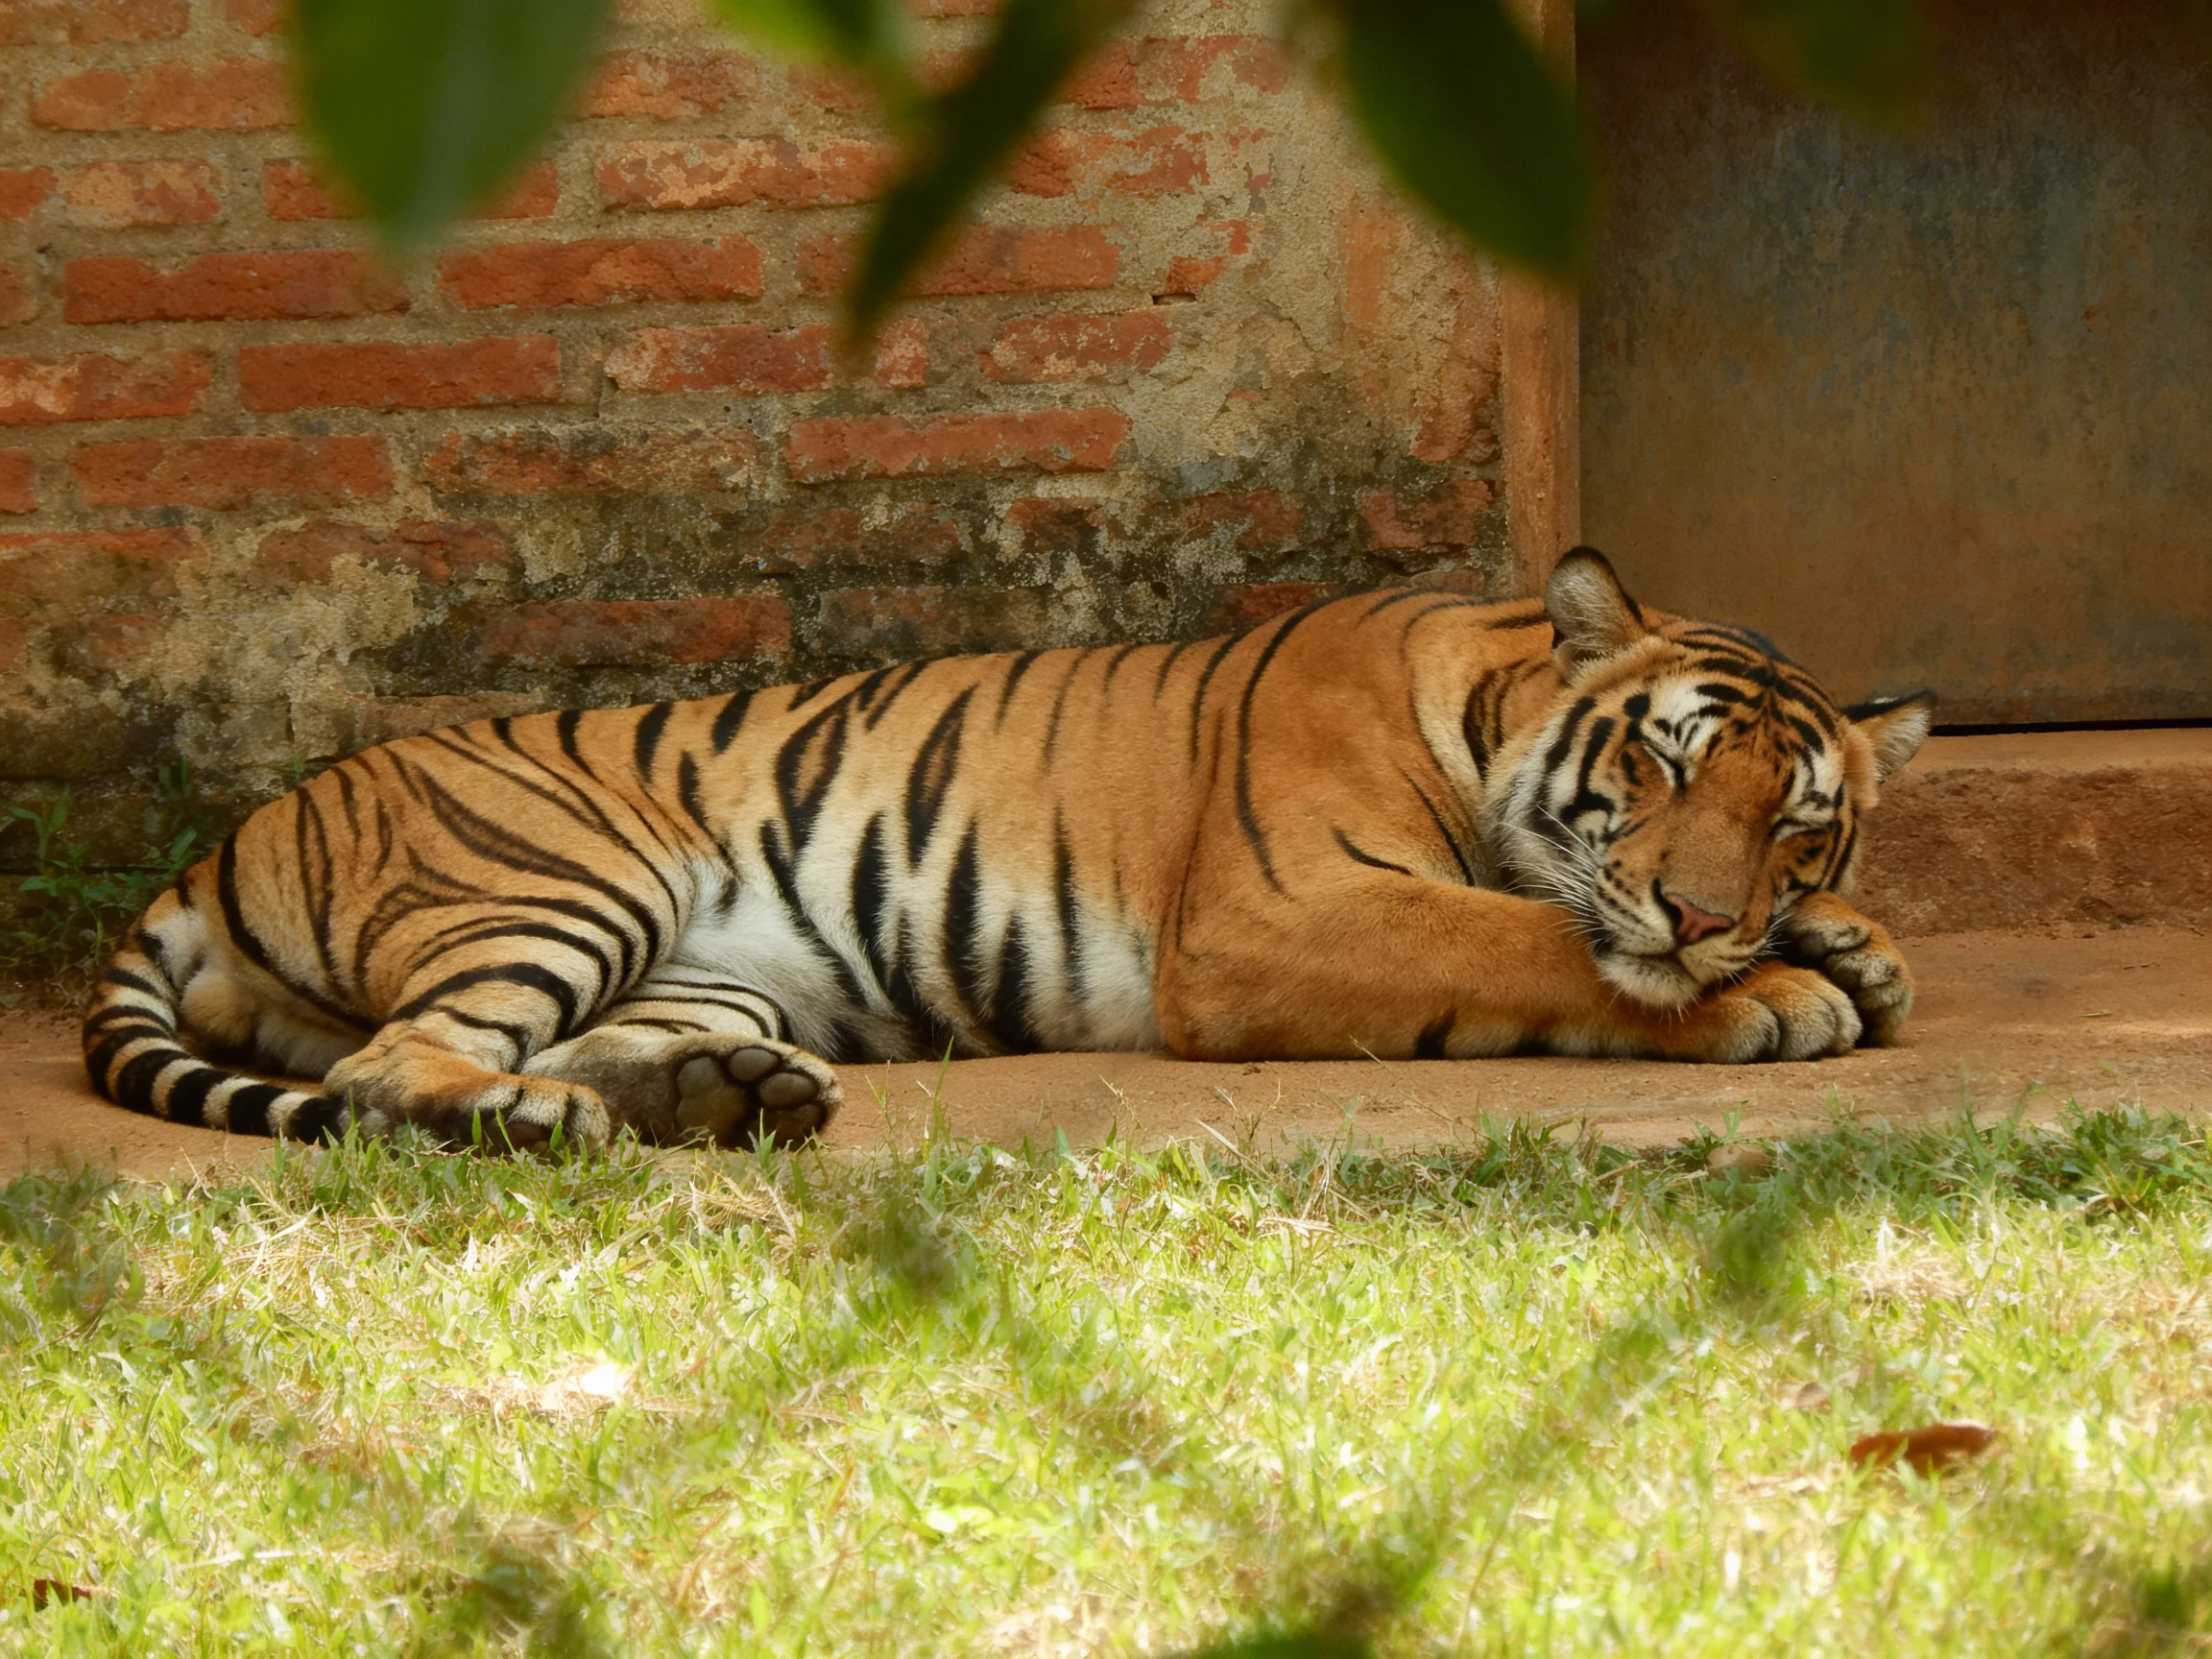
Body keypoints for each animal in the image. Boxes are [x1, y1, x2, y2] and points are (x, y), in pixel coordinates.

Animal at [80, 547, 1933, 1152]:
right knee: (395, 1069)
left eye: (1798, 823)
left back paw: (721, 1101)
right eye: (1661, 762)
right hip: (570, 875)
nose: (1705, 911)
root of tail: (228, 836)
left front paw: (1853, 948)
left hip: (695, 965)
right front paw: (1768, 996)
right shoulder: (1272, 918)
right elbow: (1532, 936)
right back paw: (546, 1125)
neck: (1480, 699)